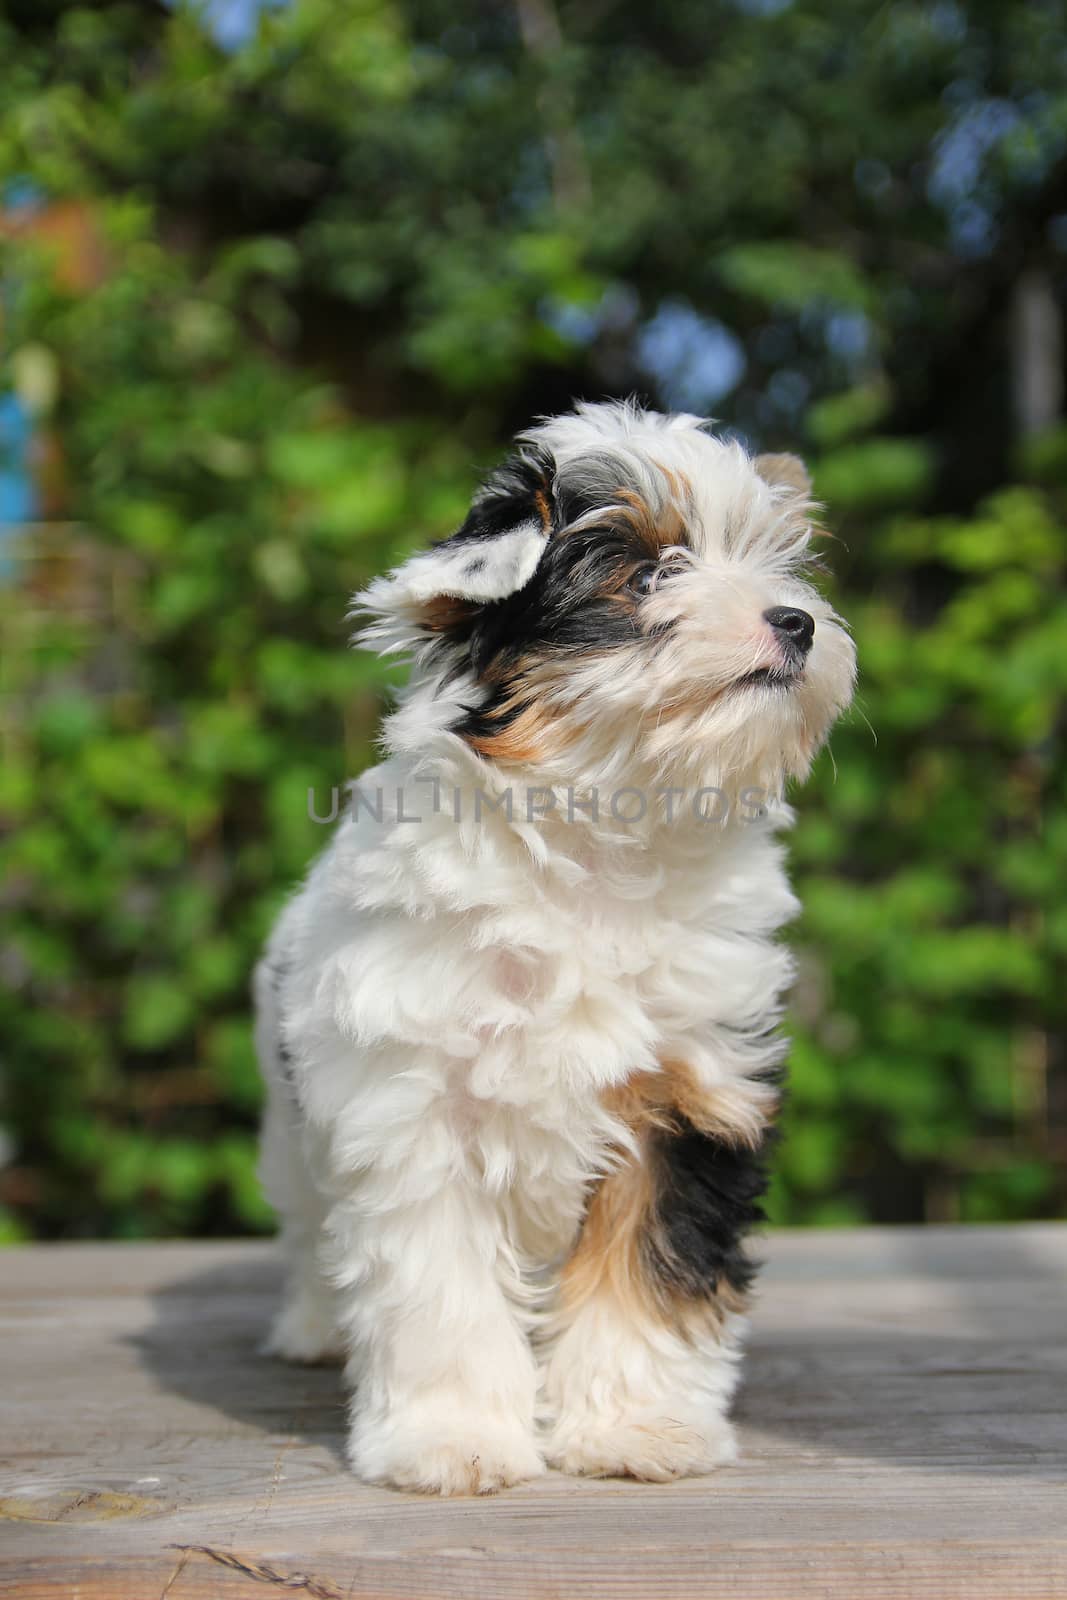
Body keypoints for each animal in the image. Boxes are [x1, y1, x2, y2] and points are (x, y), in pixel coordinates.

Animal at [254, 403, 857, 1497]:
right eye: (644, 573)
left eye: (776, 565)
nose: (794, 621)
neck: (602, 840)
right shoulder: (412, 1110)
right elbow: (437, 1287)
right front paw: (450, 1439)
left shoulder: (690, 1092)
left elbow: (648, 1268)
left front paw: (634, 1428)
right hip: (291, 1127)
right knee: (310, 1227)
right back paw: (314, 1328)